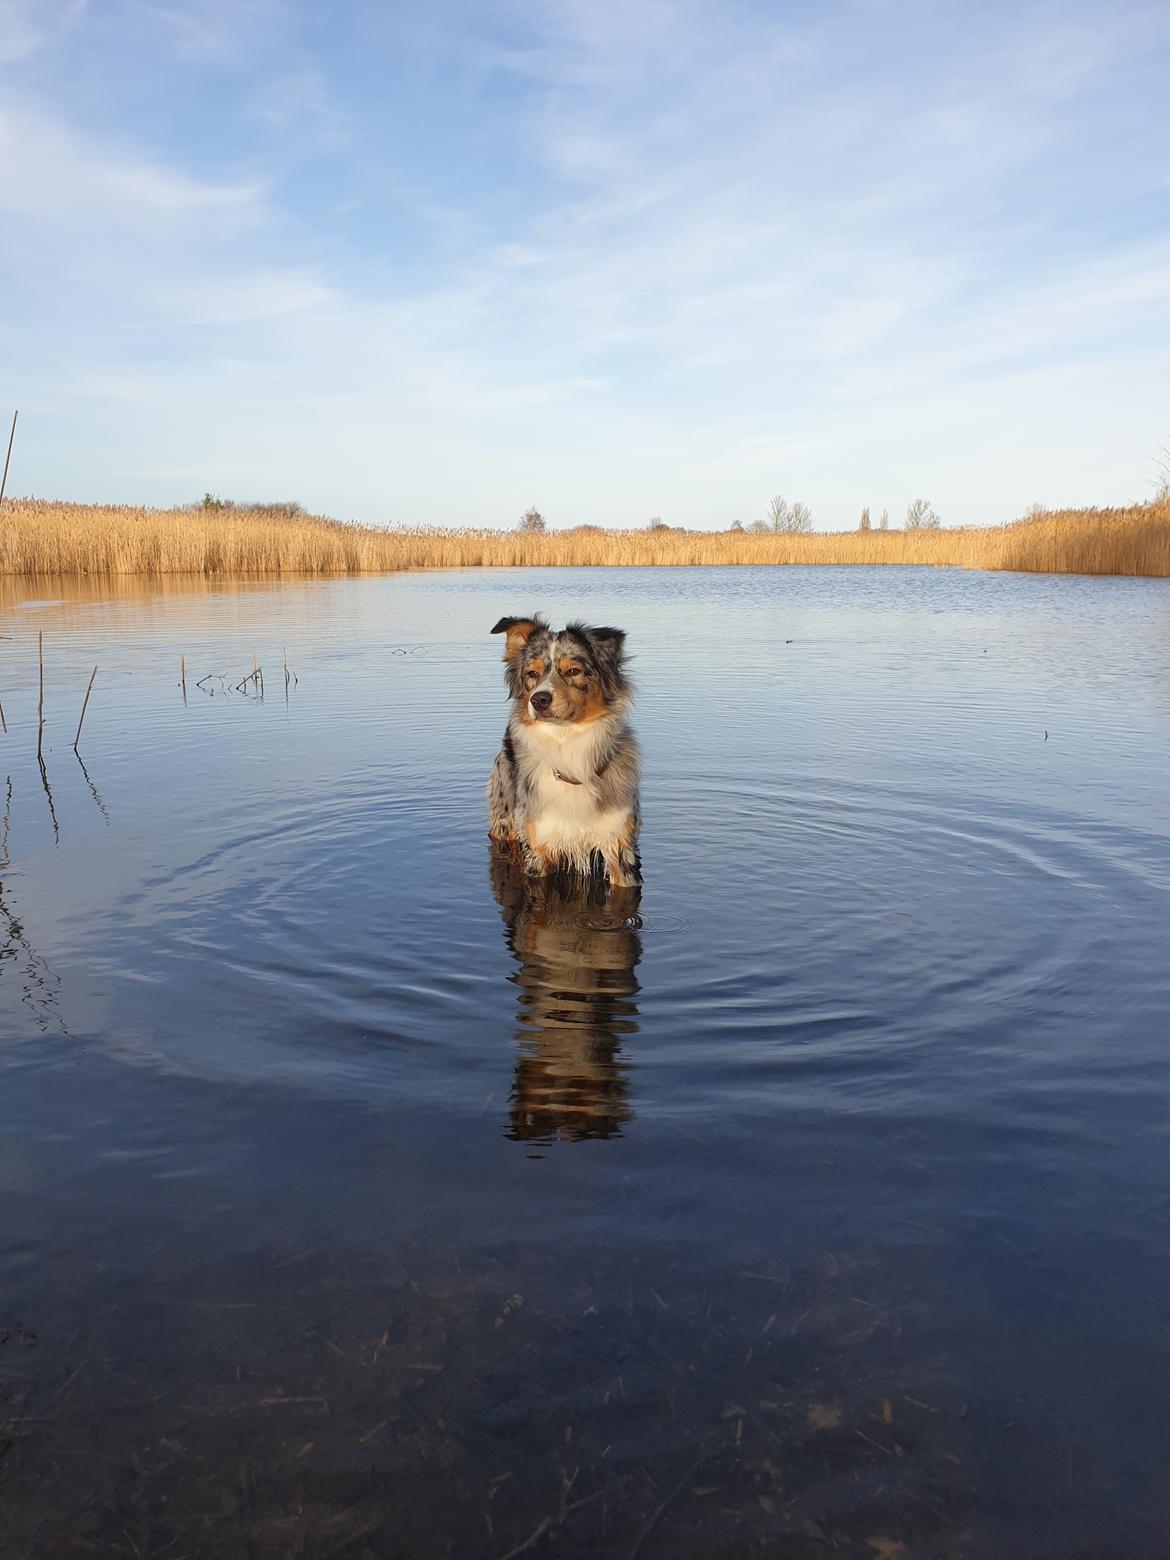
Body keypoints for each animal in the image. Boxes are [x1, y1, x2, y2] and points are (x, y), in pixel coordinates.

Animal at [489, 620, 645, 892]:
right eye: (532, 674)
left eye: (573, 671)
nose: (539, 699)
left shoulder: (620, 846)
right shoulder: (538, 849)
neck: (569, 751)